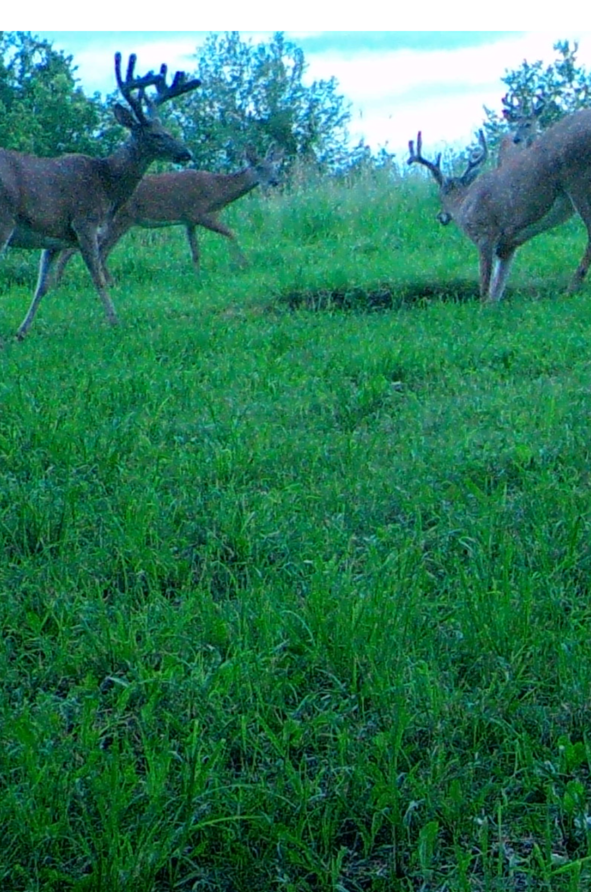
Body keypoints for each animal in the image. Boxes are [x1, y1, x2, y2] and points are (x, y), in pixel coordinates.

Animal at [0, 52, 201, 339]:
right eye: (157, 135)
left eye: (171, 132)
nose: (186, 153)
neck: (107, 182)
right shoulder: (85, 221)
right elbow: (98, 278)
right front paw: (115, 322)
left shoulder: (53, 238)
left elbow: (42, 286)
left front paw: (21, 332)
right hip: (4, 219)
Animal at [52, 144, 285, 284]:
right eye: (260, 167)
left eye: (275, 167)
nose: (275, 181)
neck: (217, 191)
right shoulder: (201, 213)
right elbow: (231, 233)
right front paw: (243, 264)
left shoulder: (188, 220)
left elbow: (195, 251)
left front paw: (197, 276)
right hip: (121, 220)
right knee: (101, 251)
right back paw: (110, 283)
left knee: (75, 249)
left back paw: (59, 282)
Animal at [407, 108, 591, 302]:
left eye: (440, 195)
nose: (441, 216)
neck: (463, 205)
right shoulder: (508, 245)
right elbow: (497, 288)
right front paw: (492, 305)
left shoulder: (485, 234)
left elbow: (485, 284)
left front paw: (481, 307)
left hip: (577, 179)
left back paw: (572, 287)